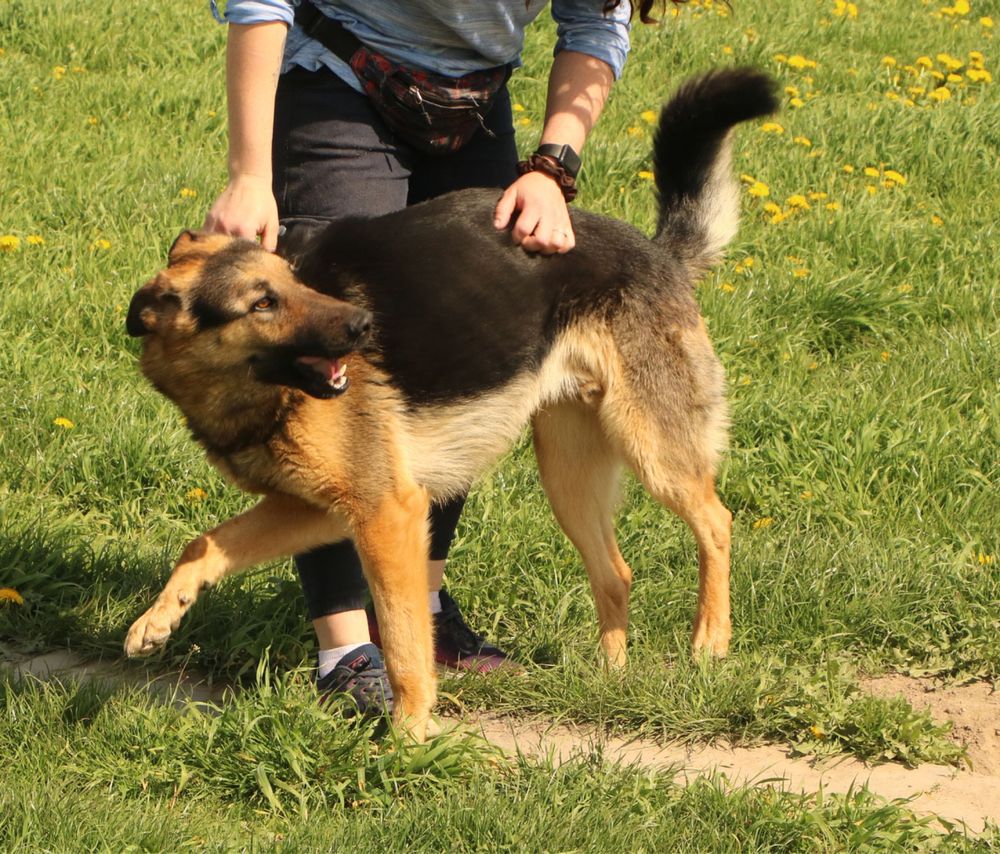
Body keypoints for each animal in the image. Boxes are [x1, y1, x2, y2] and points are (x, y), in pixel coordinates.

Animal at [123, 70, 780, 740]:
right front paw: (158, 619)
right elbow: (204, 543)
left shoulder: (388, 514)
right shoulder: (320, 510)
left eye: (295, 283)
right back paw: (609, 678)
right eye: (262, 303)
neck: (250, 393)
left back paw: (709, 642)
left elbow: (405, 640)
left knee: (716, 522)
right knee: (616, 573)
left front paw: (410, 735)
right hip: (568, 476)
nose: (363, 327)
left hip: (653, 450)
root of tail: (658, 253)